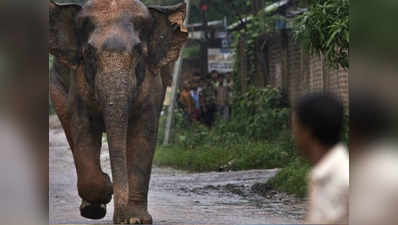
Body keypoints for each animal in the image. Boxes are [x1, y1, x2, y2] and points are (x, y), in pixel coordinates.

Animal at [47, 0, 187, 223]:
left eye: (139, 53)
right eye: (89, 54)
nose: (120, 218)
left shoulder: (152, 81)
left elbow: (143, 133)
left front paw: (136, 220)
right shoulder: (79, 79)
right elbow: (83, 127)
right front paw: (105, 191)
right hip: (56, 86)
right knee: (70, 129)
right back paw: (92, 206)